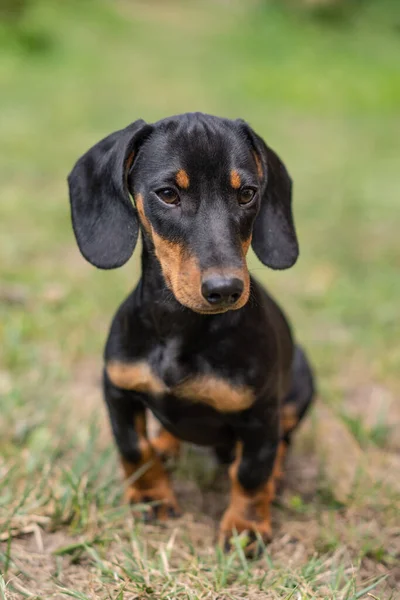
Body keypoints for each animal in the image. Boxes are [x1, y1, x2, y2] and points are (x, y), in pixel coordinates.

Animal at [67, 112, 314, 552]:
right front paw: (151, 497)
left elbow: (250, 473)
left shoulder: (260, 416)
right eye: (168, 194)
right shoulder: (117, 388)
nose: (225, 289)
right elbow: (133, 447)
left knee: (282, 442)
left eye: (247, 193)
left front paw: (246, 527)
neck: (179, 328)